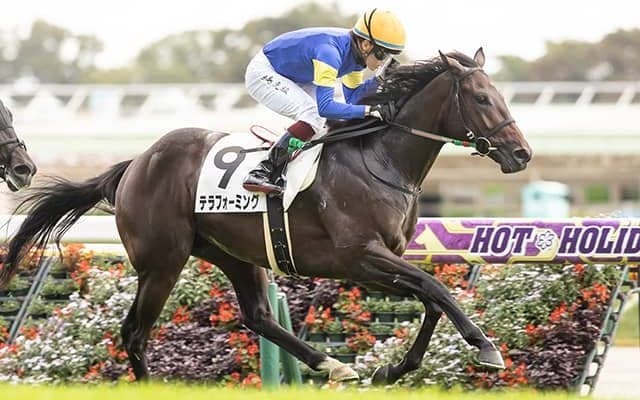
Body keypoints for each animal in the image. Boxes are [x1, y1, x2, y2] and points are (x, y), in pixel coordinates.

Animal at [0, 49, 531, 385]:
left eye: (503, 95)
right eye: (482, 98)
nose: (522, 153)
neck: (380, 160)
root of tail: (135, 164)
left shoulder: (373, 264)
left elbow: (430, 298)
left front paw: (393, 369)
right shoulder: (360, 256)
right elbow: (437, 288)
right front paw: (485, 347)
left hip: (234, 253)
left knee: (257, 315)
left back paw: (331, 364)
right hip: (162, 262)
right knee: (135, 332)